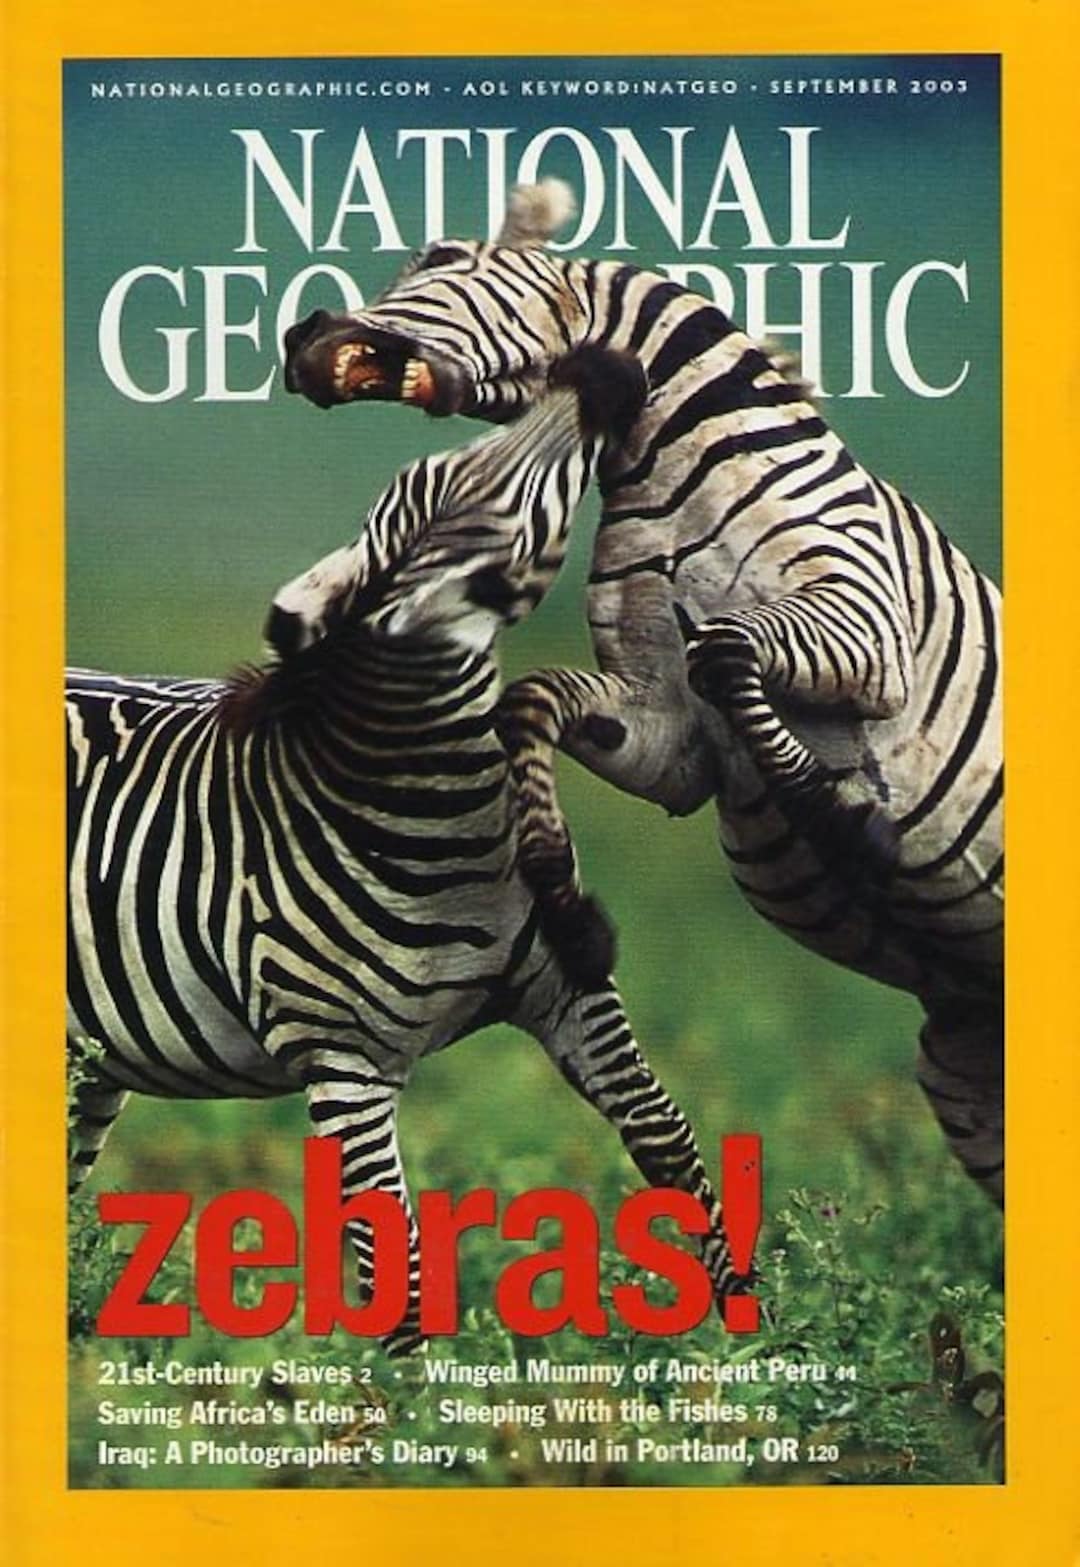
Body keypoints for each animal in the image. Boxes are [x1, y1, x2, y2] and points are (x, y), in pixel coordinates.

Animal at [67, 352, 742, 1352]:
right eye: (488, 515)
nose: (603, 366)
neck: (439, 820)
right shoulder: (343, 1063)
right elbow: (394, 1253)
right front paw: (408, 1394)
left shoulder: (569, 989)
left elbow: (666, 1136)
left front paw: (749, 1325)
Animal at [281, 180, 1004, 1203]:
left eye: (442, 257)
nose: (302, 336)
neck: (676, 471)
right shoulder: (670, 734)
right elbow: (532, 702)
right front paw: (562, 895)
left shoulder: (866, 624)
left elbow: (729, 652)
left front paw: (837, 815)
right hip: (967, 1069)